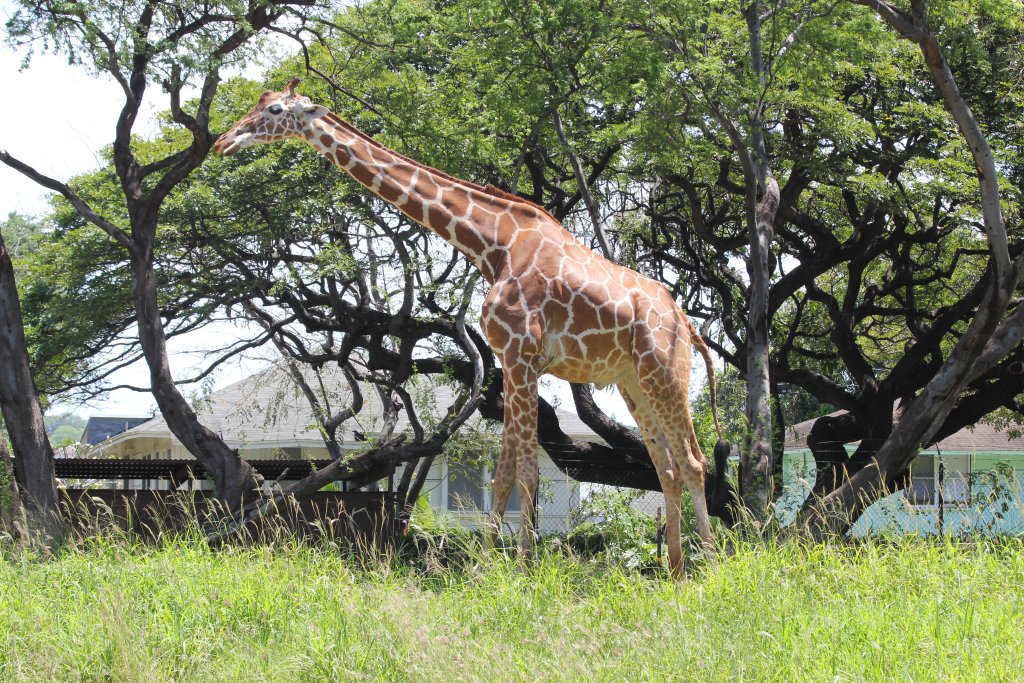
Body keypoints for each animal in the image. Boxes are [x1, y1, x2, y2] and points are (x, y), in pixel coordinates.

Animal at [214, 79, 724, 576]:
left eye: (275, 110)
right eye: (260, 100)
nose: (223, 141)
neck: (494, 245)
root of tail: (684, 320)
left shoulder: (521, 355)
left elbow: (523, 472)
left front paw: (519, 570)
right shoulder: (509, 360)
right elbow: (504, 470)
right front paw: (488, 567)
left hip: (664, 370)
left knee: (694, 462)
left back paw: (711, 566)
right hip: (631, 381)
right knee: (667, 467)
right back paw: (675, 570)